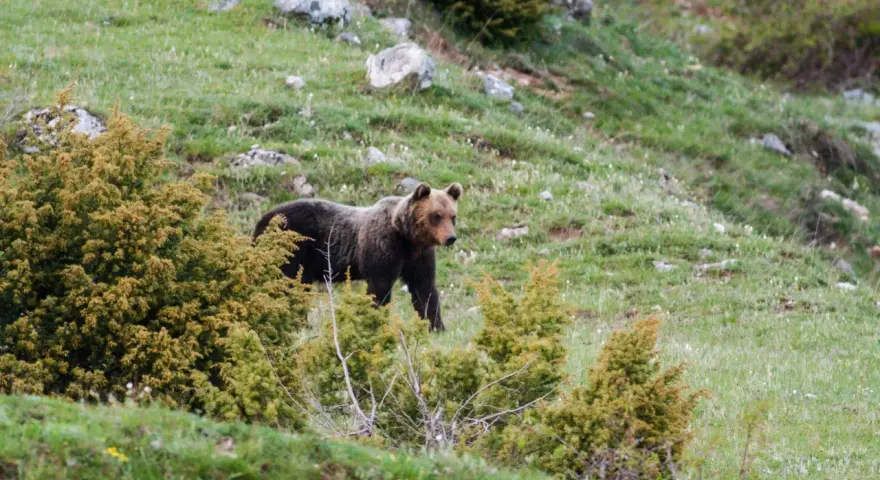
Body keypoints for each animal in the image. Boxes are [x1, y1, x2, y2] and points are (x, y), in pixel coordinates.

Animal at [252, 182, 462, 331]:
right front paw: (373, 320)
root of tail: (262, 219)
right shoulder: (383, 246)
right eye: (436, 215)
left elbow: (424, 288)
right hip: (292, 246)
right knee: (287, 284)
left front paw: (436, 327)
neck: (406, 237)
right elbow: (380, 286)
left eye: (452, 216)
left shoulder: (418, 257)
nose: (450, 238)